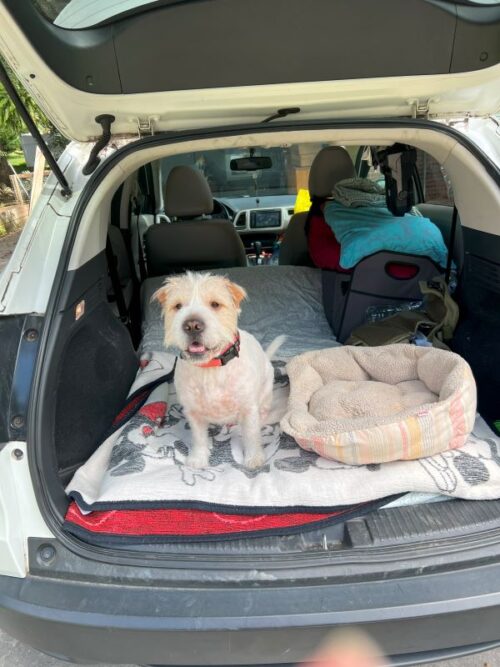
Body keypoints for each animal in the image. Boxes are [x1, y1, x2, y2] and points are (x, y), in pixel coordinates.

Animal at [152, 272, 284, 470]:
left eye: (215, 304)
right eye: (178, 306)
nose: (192, 325)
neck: (210, 368)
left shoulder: (248, 409)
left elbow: (251, 435)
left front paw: (253, 458)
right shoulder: (193, 413)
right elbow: (199, 438)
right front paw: (198, 459)